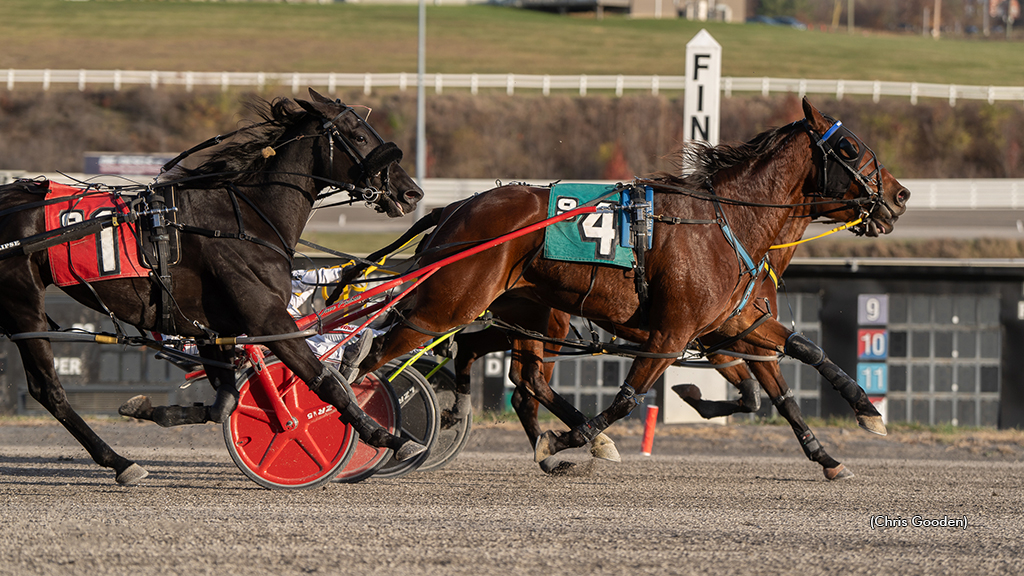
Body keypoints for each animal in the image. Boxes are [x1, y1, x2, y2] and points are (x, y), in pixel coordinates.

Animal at [0, 88, 421, 483]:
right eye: (359, 135)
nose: (411, 192)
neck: (244, 218)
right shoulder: (267, 319)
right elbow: (322, 381)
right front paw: (387, 437)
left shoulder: (209, 327)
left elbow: (226, 402)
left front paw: (148, 409)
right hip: (24, 305)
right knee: (49, 391)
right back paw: (120, 462)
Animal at [356, 97, 909, 461]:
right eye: (851, 148)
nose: (900, 195)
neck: (727, 225)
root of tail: (455, 208)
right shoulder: (676, 332)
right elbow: (628, 396)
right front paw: (576, 438)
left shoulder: (733, 324)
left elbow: (796, 364)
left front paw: (848, 431)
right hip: (452, 304)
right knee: (380, 352)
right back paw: (376, 429)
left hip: (521, 311)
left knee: (505, 368)